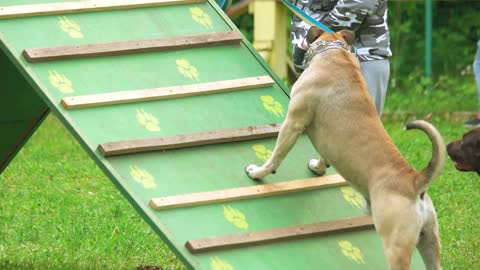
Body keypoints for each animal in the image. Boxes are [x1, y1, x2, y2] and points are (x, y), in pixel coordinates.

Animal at [248, 26, 446, 270]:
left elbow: (276, 154)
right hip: (429, 243)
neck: (334, 52)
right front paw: (318, 168)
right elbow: (323, 156)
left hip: (396, 244)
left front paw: (258, 172)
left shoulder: (293, 122)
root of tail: (415, 182)